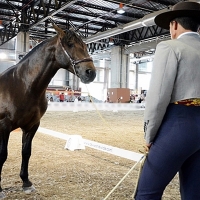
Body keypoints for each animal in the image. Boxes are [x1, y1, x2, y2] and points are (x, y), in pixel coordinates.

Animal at [0, 24, 96, 198]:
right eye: (70, 44)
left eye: (86, 46)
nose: (90, 73)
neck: (23, 86)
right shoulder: (4, 126)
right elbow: (3, 155)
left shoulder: (32, 126)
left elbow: (26, 152)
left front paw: (26, 183)